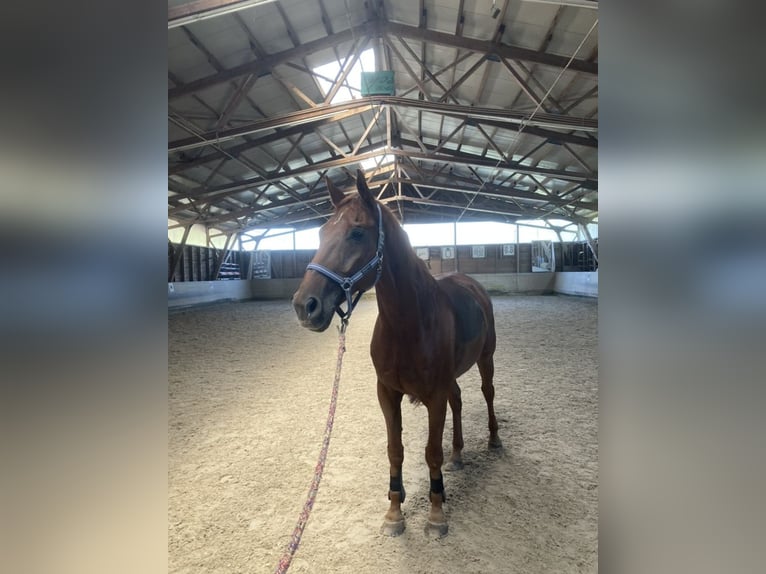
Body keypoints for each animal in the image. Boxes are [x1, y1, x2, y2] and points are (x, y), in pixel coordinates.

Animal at [292, 171, 500, 540]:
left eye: (357, 232)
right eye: (320, 233)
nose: (306, 306)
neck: (409, 323)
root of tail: (471, 283)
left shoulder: (434, 397)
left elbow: (431, 453)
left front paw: (436, 514)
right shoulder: (387, 393)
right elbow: (395, 450)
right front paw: (394, 511)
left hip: (485, 358)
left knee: (487, 392)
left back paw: (494, 439)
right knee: (459, 401)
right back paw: (458, 455)